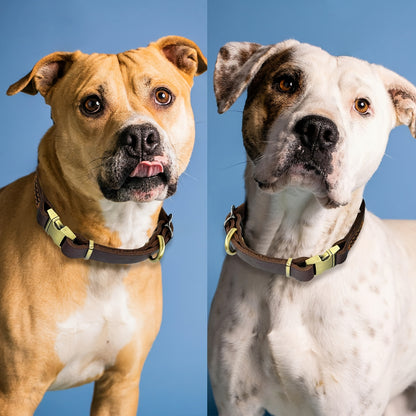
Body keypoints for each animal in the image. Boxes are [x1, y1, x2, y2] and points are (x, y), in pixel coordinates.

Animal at [0, 36, 206, 416]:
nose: (141, 136)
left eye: (163, 96)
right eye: (92, 104)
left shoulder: (121, 383)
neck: (106, 250)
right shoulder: (16, 392)